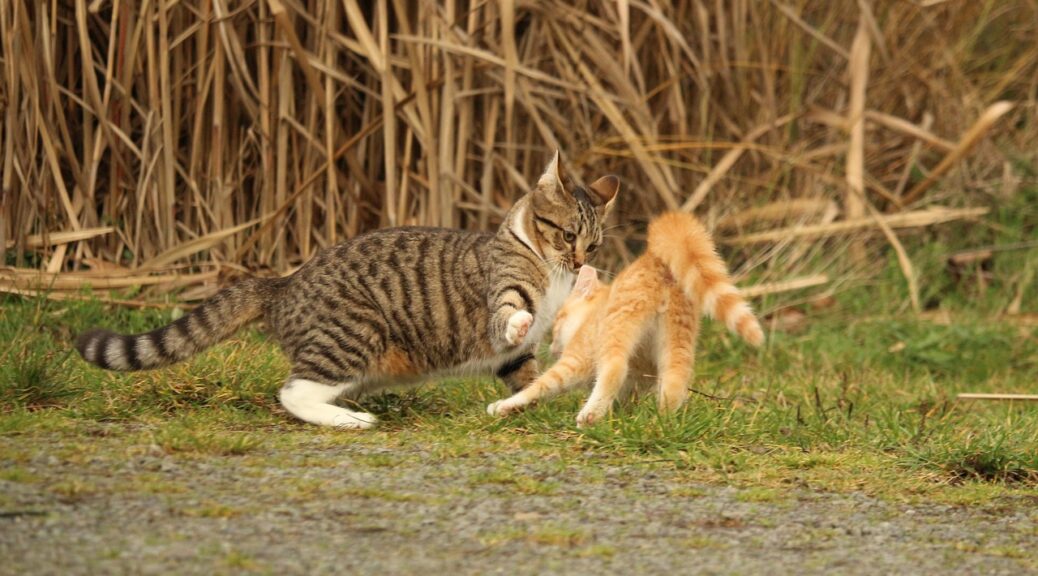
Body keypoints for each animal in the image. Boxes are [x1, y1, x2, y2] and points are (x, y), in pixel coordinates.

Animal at [78, 152, 614, 427]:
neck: (550, 271)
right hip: (353, 333)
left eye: (594, 244)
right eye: (567, 235)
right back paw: (349, 421)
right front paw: (522, 321)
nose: (580, 262)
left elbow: (527, 377)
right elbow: (509, 311)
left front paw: (527, 404)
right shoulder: (503, 293)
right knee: (292, 392)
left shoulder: (514, 357)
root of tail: (283, 283)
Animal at [485, 209, 763, 425]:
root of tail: (657, 262)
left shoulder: (578, 358)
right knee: (675, 380)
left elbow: (540, 385)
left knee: (614, 367)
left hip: (617, 328)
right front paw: (623, 414)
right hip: (678, 340)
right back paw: (662, 422)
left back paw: (590, 415)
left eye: (559, 321)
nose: (552, 346)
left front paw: (505, 406)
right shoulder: (638, 378)